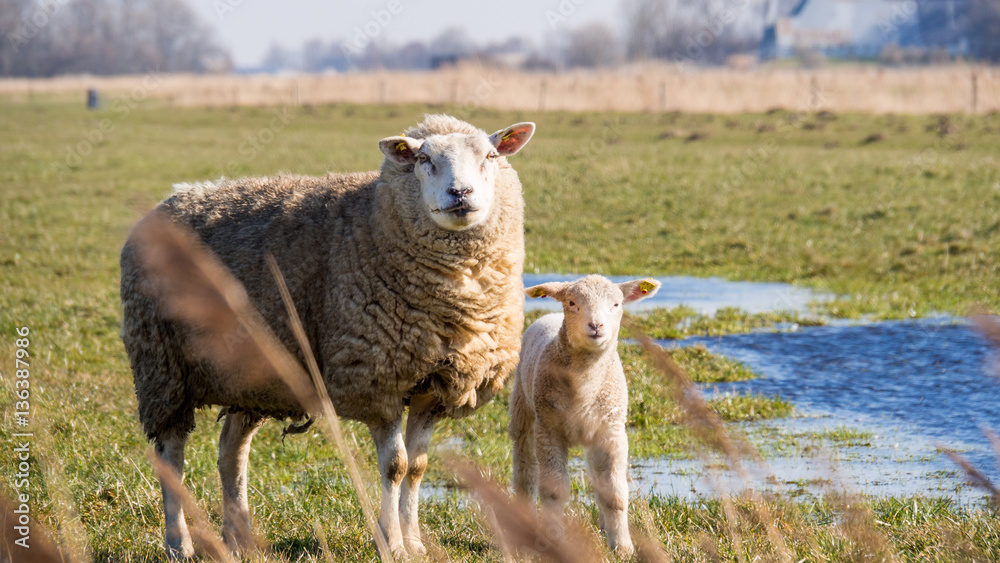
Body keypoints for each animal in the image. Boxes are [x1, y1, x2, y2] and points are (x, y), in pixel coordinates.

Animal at [119, 114, 535, 559]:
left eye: (490, 156)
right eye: (422, 159)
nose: (460, 193)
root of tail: (173, 199)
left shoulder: (434, 384)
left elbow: (418, 467)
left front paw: (415, 543)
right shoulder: (376, 379)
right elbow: (396, 466)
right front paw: (392, 544)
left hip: (249, 376)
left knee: (232, 451)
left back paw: (240, 539)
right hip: (162, 367)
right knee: (171, 453)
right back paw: (179, 544)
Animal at [509, 275, 661, 556]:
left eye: (616, 304)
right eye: (572, 303)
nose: (596, 325)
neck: (584, 387)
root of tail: (549, 316)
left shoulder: (611, 431)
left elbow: (614, 493)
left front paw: (622, 547)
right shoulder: (549, 430)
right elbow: (554, 491)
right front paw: (552, 541)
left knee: (596, 475)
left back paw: (603, 527)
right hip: (523, 408)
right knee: (525, 471)